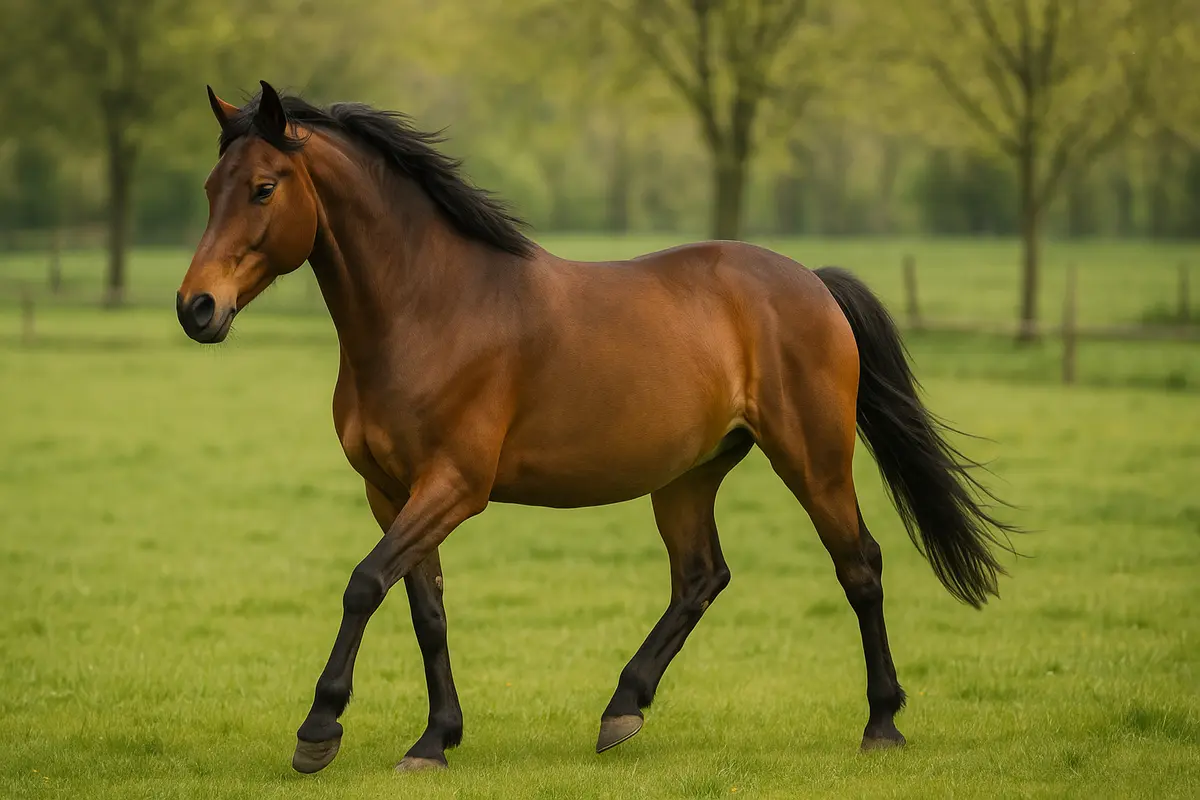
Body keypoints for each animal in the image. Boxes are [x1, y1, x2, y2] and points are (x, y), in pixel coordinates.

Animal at [176, 80, 1015, 774]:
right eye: (210, 188)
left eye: (262, 188)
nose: (197, 309)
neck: (429, 308)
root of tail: (810, 281)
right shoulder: (392, 493)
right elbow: (423, 608)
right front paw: (436, 738)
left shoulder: (453, 486)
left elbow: (362, 584)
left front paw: (319, 730)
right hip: (688, 476)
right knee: (701, 577)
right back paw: (623, 709)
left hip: (814, 460)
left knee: (859, 567)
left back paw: (882, 724)